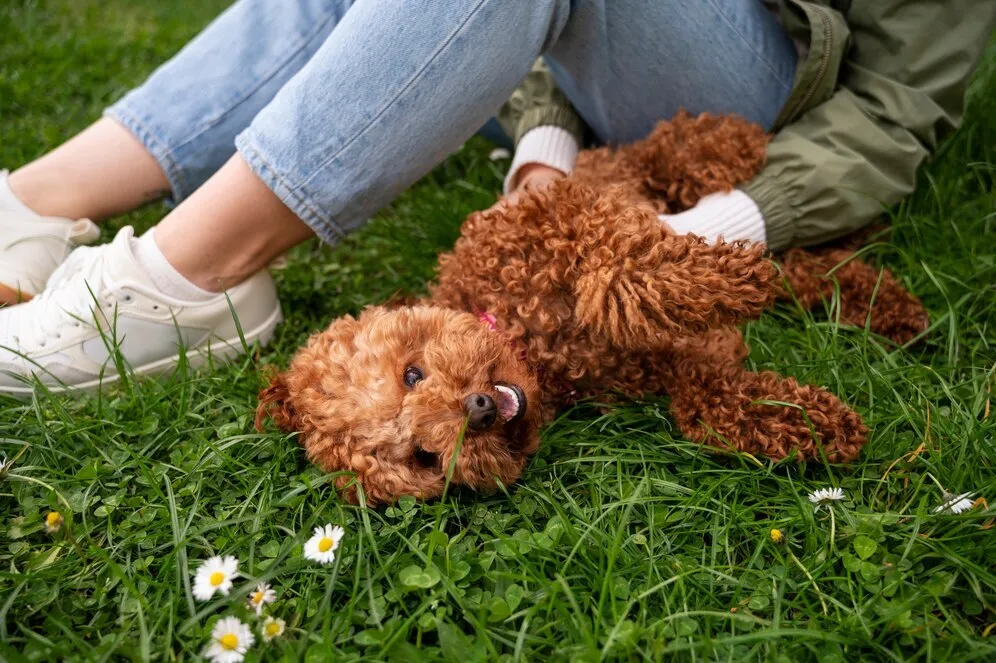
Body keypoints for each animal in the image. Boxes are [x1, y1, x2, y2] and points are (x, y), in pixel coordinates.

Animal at [255, 111, 924, 506]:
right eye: (423, 457)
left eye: (411, 373)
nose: (477, 411)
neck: (536, 344)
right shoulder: (683, 372)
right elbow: (710, 406)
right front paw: (822, 425)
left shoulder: (558, 221)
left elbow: (618, 273)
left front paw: (730, 280)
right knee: (811, 266)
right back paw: (885, 304)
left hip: (671, 158)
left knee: (711, 152)